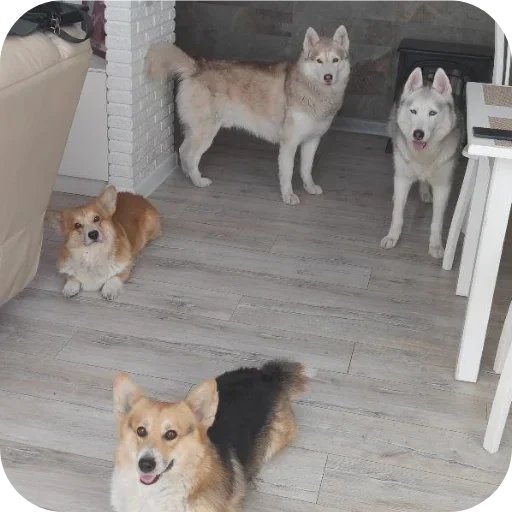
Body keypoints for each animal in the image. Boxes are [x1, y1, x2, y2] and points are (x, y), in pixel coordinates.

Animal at [145, 26, 350, 205]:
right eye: (319, 61)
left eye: (335, 60)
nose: (328, 77)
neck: (314, 92)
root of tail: (198, 67)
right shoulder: (289, 143)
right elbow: (288, 173)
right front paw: (288, 196)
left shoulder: (312, 140)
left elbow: (306, 169)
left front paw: (309, 187)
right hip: (206, 133)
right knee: (190, 155)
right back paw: (198, 181)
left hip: (195, 130)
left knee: (182, 150)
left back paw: (189, 174)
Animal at [381, 67, 462, 258]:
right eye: (413, 112)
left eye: (432, 113)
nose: (418, 134)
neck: (424, 155)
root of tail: (427, 78)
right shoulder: (403, 179)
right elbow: (397, 214)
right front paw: (392, 237)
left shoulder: (443, 186)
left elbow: (437, 221)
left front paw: (436, 245)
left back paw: (425, 192)